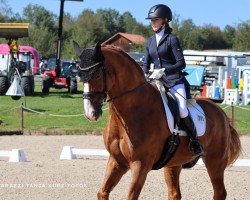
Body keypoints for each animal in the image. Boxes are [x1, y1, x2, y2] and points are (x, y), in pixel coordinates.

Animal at [73, 41, 241, 199]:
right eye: (79, 75)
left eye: (96, 75)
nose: (90, 113)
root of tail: (220, 111)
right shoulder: (116, 161)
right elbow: (102, 192)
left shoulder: (140, 165)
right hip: (174, 163)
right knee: (175, 194)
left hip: (215, 161)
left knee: (220, 193)